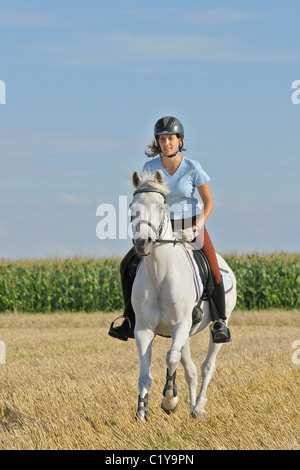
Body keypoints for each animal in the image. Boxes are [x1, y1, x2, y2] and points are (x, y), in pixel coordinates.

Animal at [129, 171, 237, 420]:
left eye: (161, 207)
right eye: (132, 207)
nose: (142, 243)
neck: (159, 275)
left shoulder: (180, 324)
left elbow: (171, 358)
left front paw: (169, 400)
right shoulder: (144, 329)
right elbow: (145, 372)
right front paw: (142, 411)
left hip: (215, 326)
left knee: (207, 367)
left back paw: (198, 408)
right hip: (185, 333)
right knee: (191, 371)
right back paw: (191, 405)